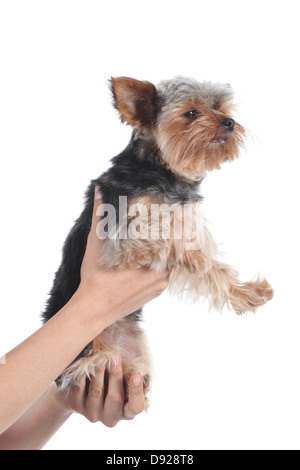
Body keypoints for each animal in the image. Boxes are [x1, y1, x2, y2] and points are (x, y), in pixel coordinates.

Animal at [42, 76, 274, 404]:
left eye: (220, 108)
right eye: (191, 113)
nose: (229, 122)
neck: (161, 171)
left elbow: (211, 264)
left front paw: (245, 293)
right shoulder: (120, 234)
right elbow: (165, 229)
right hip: (81, 351)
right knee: (90, 363)